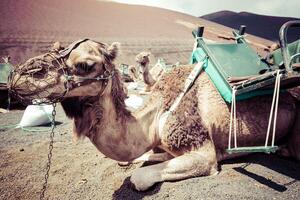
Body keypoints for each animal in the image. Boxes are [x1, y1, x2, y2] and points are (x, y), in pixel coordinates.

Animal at [8, 39, 300, 191]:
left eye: (85, 65)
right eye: (56, 46)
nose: (21, 75)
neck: (156, 114)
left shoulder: (201, 149)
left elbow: (138, 178)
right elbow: (136, 158)